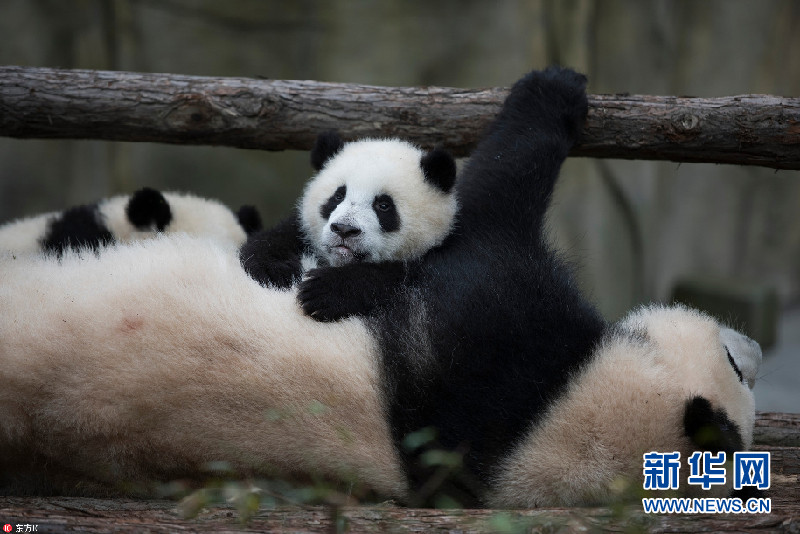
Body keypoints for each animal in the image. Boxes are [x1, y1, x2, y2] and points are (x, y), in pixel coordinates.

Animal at [239, 133, 456, 318]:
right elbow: (273, 239)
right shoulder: (301, 229)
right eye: (338, 196)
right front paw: (274, 269)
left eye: (384, 205)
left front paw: (325, 290)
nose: (344, 229)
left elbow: (400, 280)